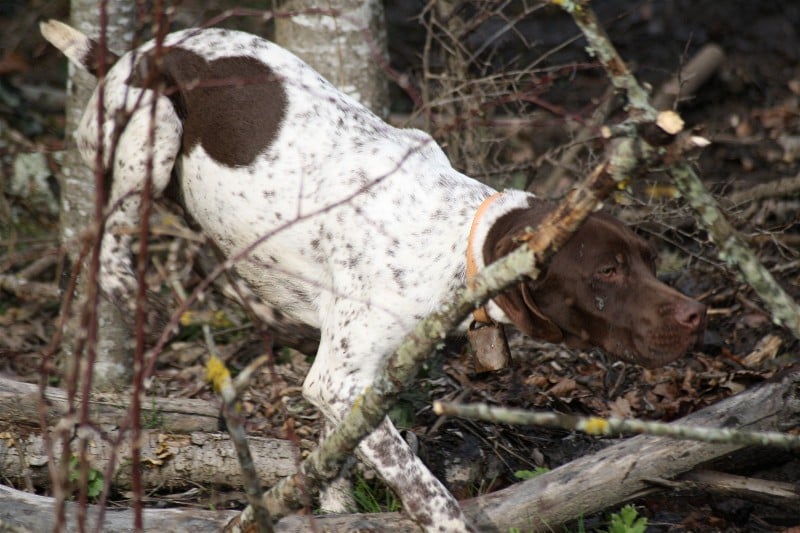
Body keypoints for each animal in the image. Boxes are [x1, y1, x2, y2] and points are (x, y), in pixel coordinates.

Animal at [42, 19, 708, 528]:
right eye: (608, 272)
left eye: (649, 261)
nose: (696, 314)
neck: (453, 236)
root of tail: (124, 56)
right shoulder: (340, 380)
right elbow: (421, 483)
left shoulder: (356, 381)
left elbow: (334, 451)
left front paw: (332, 503)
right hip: (150, 134)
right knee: (101, 243)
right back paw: (139, 298)